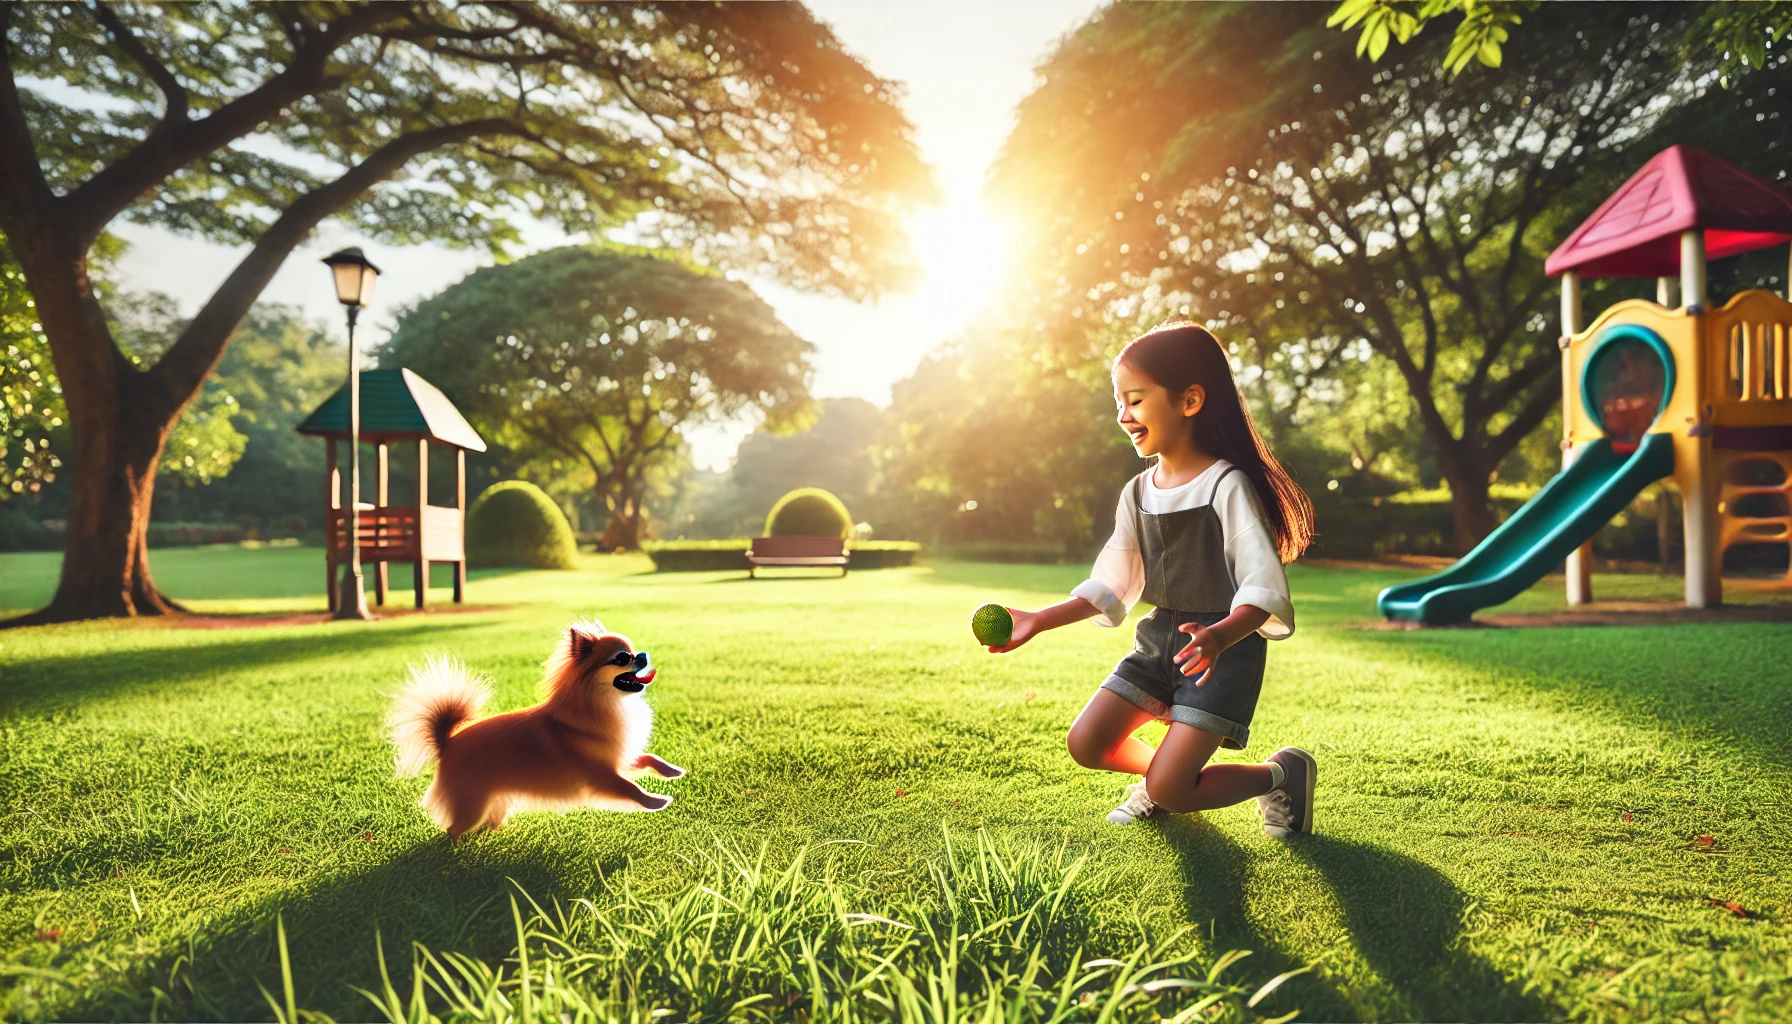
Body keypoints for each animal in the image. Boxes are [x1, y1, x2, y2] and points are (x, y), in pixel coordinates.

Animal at [388, 620, 680, 835]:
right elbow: (631, 788)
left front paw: (671, 770)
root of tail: (447, 741)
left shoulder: (619, 760)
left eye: (634, 651)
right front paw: (656, 801)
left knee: (488, 822)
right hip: (472, 806)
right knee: (453, 829)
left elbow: (648, 758)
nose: (642, 655)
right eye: (622, 658)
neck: (603, 704)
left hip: (493, 800)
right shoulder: (602, 776)